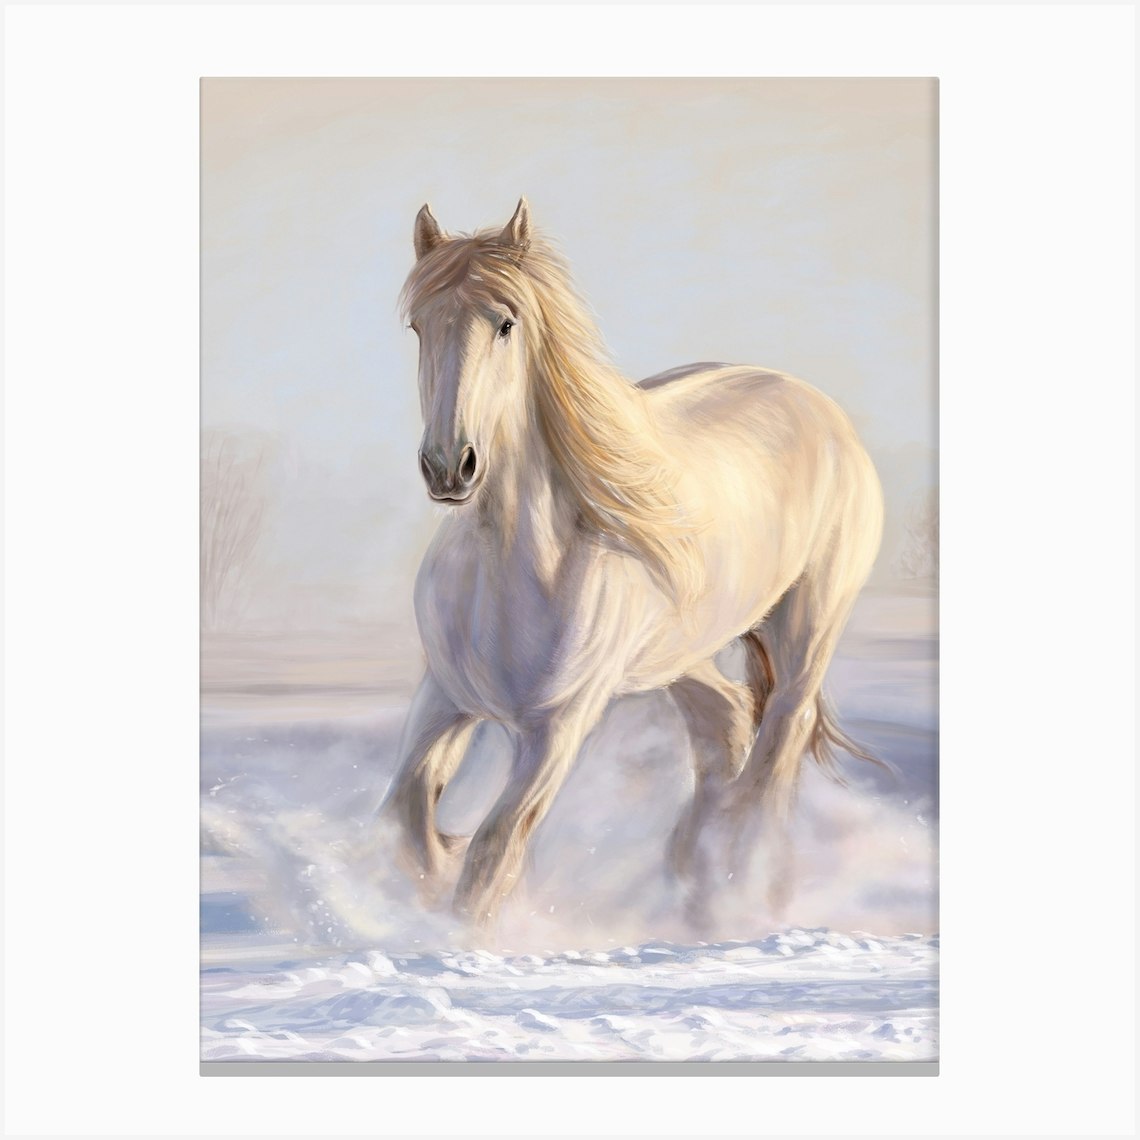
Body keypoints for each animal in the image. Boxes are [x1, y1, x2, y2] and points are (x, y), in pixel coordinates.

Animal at [382, 198, 884, 928]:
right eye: (419, 327)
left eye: (505, 324)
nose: (450, 466)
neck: (509, 573)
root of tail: (821, 408)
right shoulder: (445, 696)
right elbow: (408, 815)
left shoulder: (558, 726)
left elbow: (493, 853)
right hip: (680, 655)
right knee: (726, 724)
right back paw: (694, 879)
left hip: (806, 634)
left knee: (774, 751)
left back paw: (740, 891)